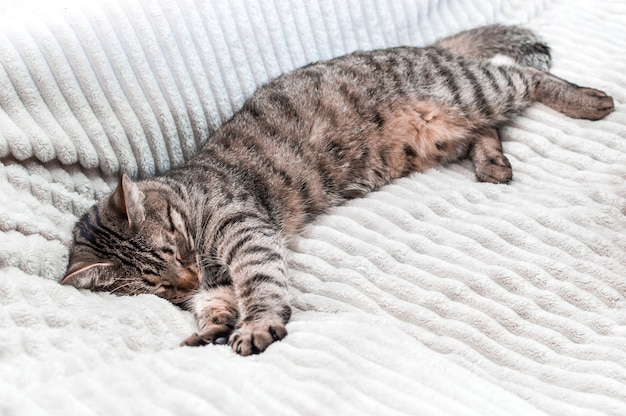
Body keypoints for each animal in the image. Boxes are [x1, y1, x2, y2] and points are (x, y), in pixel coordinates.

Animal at [61, 23, 612, 354]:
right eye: (155, 283)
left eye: (175, 245)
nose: (186, 277)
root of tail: (428, 48)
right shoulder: (211, 280)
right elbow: (215, 301)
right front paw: (213, 325)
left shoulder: (245, 228)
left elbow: (259, 282)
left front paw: (254, 324)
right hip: (451, 128)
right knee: (489, 127)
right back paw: (492, 163)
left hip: (472, 91)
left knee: (523, 74)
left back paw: (588, 99)